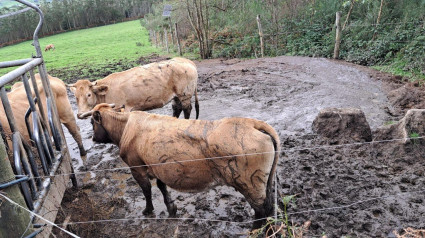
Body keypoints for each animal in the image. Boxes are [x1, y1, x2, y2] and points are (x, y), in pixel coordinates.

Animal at [66, 57, 199, 120]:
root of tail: (186, 61)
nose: (80, 114)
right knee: (177, 109)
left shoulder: (122, 109)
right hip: (176, 96)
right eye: (75, 97)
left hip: (185, 94)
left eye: (89, 94)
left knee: (187, 109)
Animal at [80, 103, 278, 230]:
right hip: (263, 183)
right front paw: (171, 207)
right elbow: (161, 186)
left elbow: (146, 190)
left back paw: (255, 231)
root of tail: (252, 124)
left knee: (261, 210)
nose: (93, 138)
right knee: (268, 208)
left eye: (92, 123)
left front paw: (148, 210)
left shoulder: (137, 168)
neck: (126, 127)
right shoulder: (156, 165)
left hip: (250, 184)